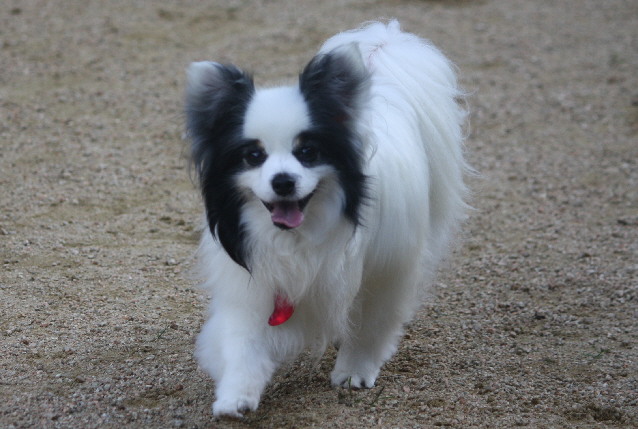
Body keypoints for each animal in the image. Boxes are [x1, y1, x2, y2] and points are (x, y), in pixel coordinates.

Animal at [185, 20, 469, 417]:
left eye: (307, 152)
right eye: (253, 156)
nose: (283, 181)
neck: (300, 236)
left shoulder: (385, 272)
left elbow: (371, 326)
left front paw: (354, 371)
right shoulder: (253, 284)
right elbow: (243, 341)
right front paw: (235, 394)